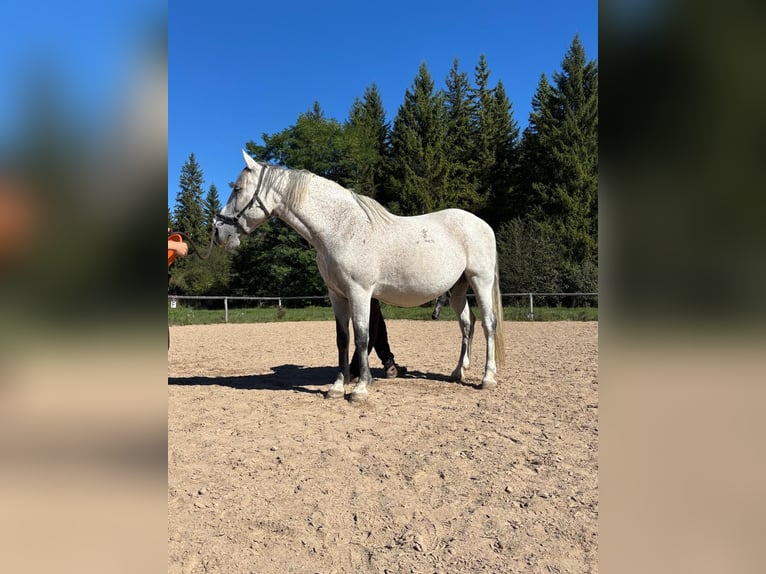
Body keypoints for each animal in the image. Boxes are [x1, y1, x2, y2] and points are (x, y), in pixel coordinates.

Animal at [213, 150, 505, 402]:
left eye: (237, 189)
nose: (218, 232)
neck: (341, 229)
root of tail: (482, 224)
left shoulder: (360, 292)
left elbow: (362, 336)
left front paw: (360, 388)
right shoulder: (337, 295)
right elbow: (343, 339)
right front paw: (337, 386)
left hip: (480, 281)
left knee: (488, 324)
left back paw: (487, 378)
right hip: (457, 288)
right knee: (467, 324)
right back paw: (458, 372)